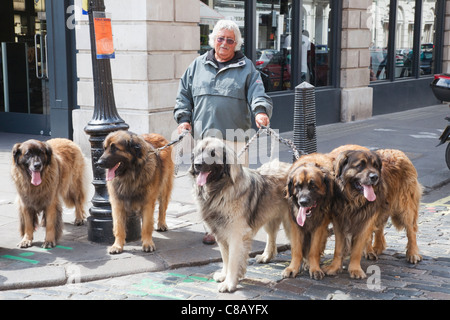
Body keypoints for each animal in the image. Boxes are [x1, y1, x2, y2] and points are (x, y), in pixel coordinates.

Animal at [282, 152, 334, 280]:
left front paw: (315, 268)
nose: (303, 202)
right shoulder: (296, 226)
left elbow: (313, 250)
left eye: (313, 186)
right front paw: (293, 268)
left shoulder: (319, 227)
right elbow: (297, 250)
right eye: (297, 186)